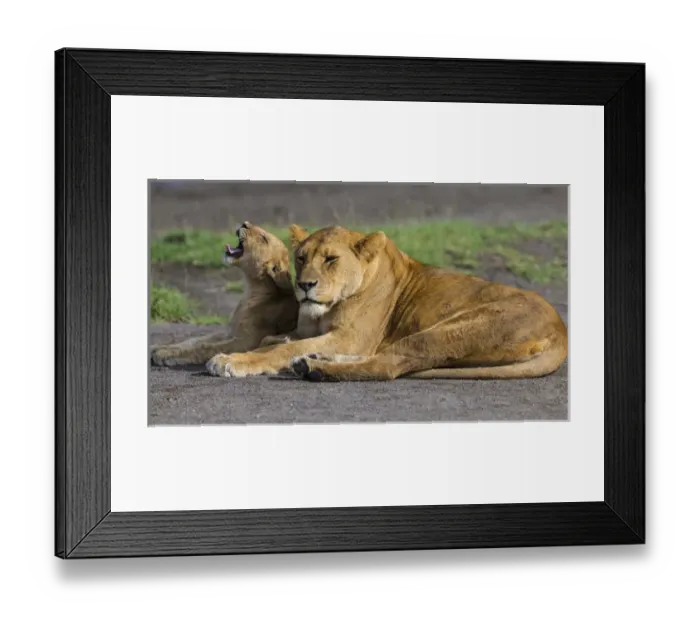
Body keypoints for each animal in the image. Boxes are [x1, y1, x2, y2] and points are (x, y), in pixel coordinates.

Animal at [150, 222, 298, 367]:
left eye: (264, 238)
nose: (244, 223)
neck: (250, 292)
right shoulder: (229, 332)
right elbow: (194, 340)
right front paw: (161, 348)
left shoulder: (246, 342)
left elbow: (205, 347)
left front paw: (164, 355)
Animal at [205, 224, 568, 381]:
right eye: (301, 258)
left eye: (331, 259)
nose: (304, 285)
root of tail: (561, 330)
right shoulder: (314, 333)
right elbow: (278, 342)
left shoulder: (354, 337)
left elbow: (278, 349)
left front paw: (232, 361)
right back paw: (317, 359)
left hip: (445, 332)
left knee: (389, 365)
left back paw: (314, 368)